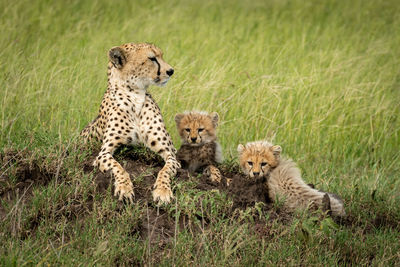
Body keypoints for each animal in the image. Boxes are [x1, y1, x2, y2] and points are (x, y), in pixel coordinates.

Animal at [81, 43, 180, 204]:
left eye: (161, 56)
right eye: (152, 58)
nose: (171, 71)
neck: (135, 95)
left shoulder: (170, 153)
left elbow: (164, 171)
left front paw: (163, 191)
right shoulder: (103, 153)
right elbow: (118, 167)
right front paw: (125, 188)